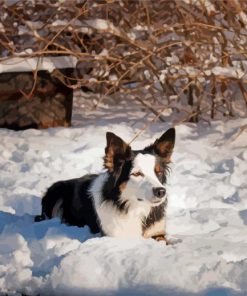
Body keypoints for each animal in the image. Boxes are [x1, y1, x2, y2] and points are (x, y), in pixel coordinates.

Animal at [34, 128, 175, 243]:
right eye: (137, 174)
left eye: (158, 172)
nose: (161, 192)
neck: (133, 207)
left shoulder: (158, 233)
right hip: (56, 192)